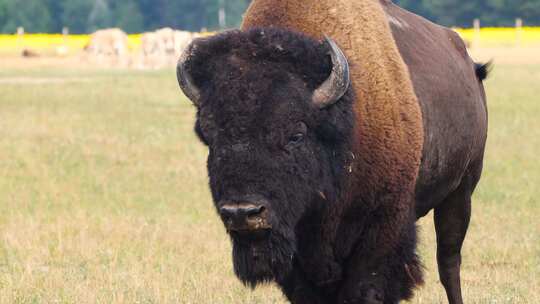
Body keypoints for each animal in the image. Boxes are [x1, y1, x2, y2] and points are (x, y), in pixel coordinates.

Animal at [177, 1, 490, 302]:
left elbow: (366, 287)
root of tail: (470, 66)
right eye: (209, 137)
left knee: (449, 262)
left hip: (460, 191)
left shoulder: (381, 226)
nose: (242, 213)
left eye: (296, 135)